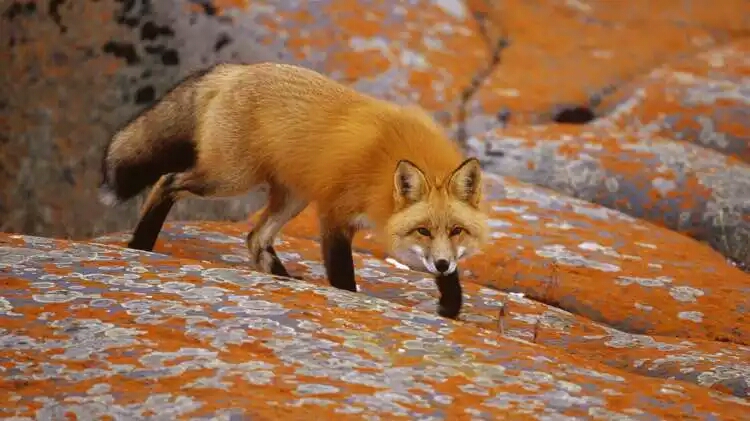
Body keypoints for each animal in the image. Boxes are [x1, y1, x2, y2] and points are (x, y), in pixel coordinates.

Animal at [100, 61, 490, 318]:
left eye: (457, 230)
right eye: (422, 230)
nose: (441, 264)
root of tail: (236, 69)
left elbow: (452, 278)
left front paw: (450, 305)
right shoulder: (334, 212)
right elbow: (342, 274)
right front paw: (348, 299)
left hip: (292, 196)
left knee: (255, 237)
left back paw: (285, 280)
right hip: (229, 178)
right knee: (166, 182)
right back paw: (141, 244)